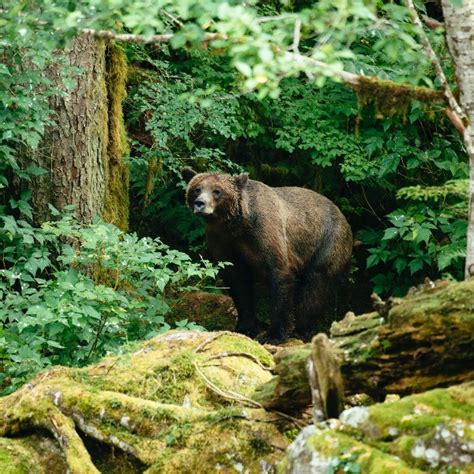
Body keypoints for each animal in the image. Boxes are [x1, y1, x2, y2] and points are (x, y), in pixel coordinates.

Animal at [181, 167, 352, 340]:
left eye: (217, 191)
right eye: (197, 189)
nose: (200, 203)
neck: (237, 226)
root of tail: (343, 217)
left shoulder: (265, 232)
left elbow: (279, 274)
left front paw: (274, 334)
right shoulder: (223, 241)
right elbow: (238, 282)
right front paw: (246, 327)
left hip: (327, 243)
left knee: (315, 285)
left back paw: (301, 328)